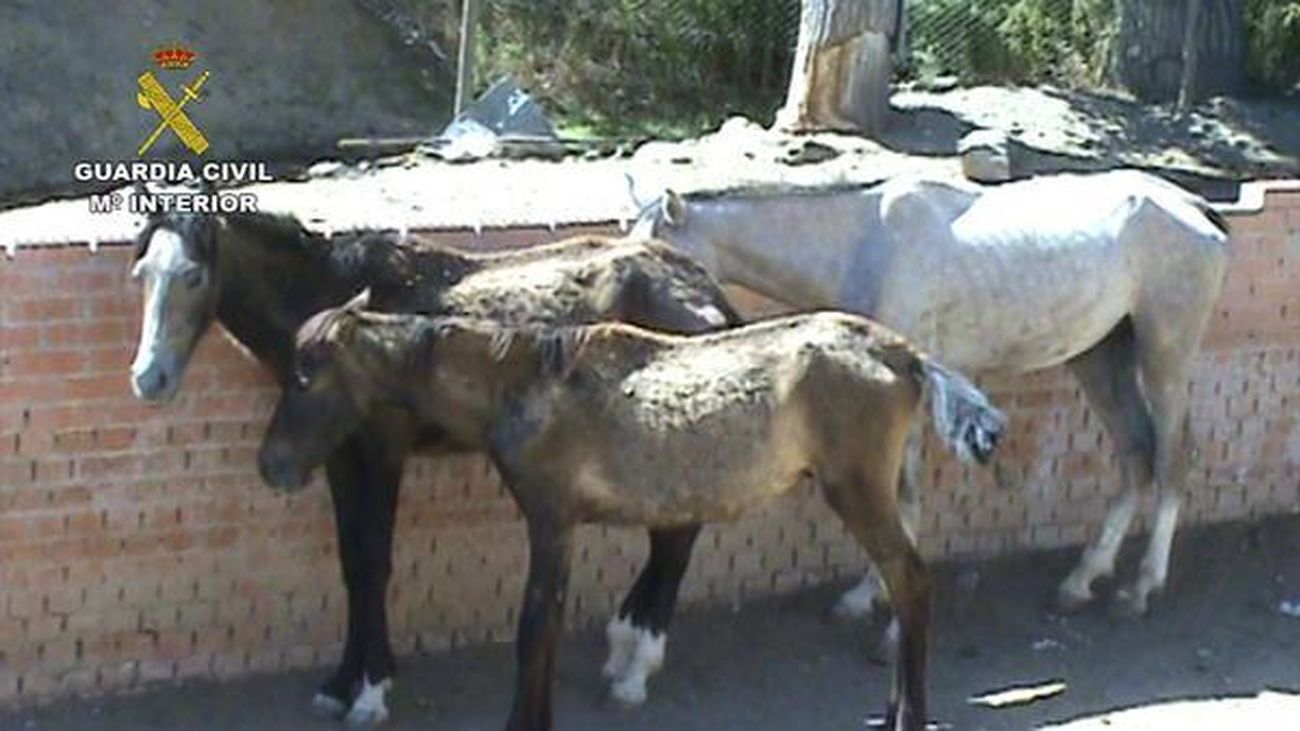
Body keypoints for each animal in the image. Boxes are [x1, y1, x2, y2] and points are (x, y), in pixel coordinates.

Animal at [127, 208, 746, 723]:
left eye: (193, 276)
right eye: (142, 276)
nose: (148, 378)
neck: (338, 301)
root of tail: (705, 291)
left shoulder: (382, 453)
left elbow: (374, 562)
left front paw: (371, 690)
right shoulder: (341, 457)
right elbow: (352, 562)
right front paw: (340, 683)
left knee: (677, 535)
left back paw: (635, 666)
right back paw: (625, 651)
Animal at [257, 301, 1008, 731]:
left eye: (305, 374)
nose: (271, 465)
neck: (524, 383)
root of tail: (905, 356)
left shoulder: (551, 520)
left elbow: (535, 628)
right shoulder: (559, 527)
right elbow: (548, 628)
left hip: (857, 489)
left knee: (911, 581)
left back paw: (908, 715)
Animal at [629, 169, 1230, 618]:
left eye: (660, 250)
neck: (867, 243)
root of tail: (1193, 207)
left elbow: (905, 493)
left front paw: (868, 599)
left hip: (1164, 358)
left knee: (1172, 459)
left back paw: (1139, 588)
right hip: (1100, 358)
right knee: (1136, 456)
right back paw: (1081, 580)